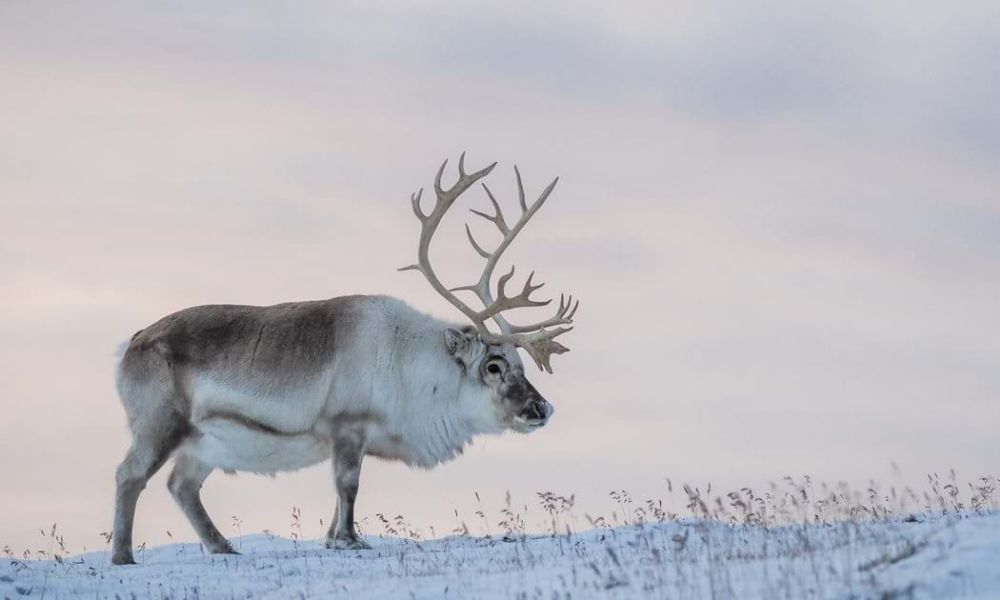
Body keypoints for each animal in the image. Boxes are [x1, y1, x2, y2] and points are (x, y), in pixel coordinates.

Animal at [110, 154, 579, 565]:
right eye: (493, 365)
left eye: (522, 364)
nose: (541, 408)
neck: (411, 364)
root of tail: (129, 345)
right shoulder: (348, 423)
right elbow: (348, 484)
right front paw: (350, 540)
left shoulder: (357, 436)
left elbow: (340, 494)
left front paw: (335, 537)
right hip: (158, 422)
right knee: (129, 475)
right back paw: (123, 556)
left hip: (204, 443)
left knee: (181, 485)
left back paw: (223, 546)